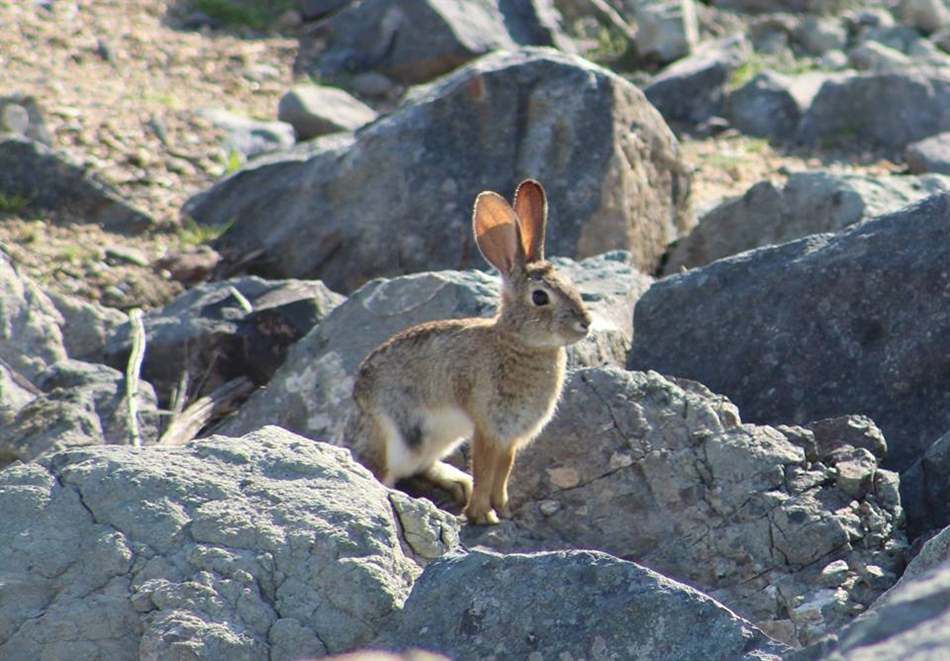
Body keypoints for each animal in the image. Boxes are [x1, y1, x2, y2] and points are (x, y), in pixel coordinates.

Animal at [346, 178, 592, 524]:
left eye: (571, 284)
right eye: (540, 297)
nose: (586, 323)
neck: (517, 341)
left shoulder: (510, 435)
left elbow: (503, 472)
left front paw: (504, 509)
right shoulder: (488, 426)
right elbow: (486, 470)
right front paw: (482, 516)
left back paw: (457, 482)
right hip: (393, 437)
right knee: (381, 471)